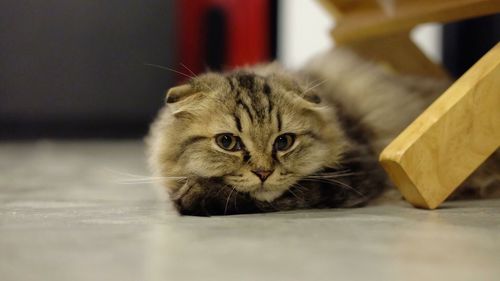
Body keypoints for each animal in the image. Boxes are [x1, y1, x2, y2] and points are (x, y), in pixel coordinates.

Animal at [146, 47, 498, 215]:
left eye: (284, 142)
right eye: (227, 142)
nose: (263, 173)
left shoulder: (354, 172)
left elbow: (278, 196)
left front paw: (197, 196)